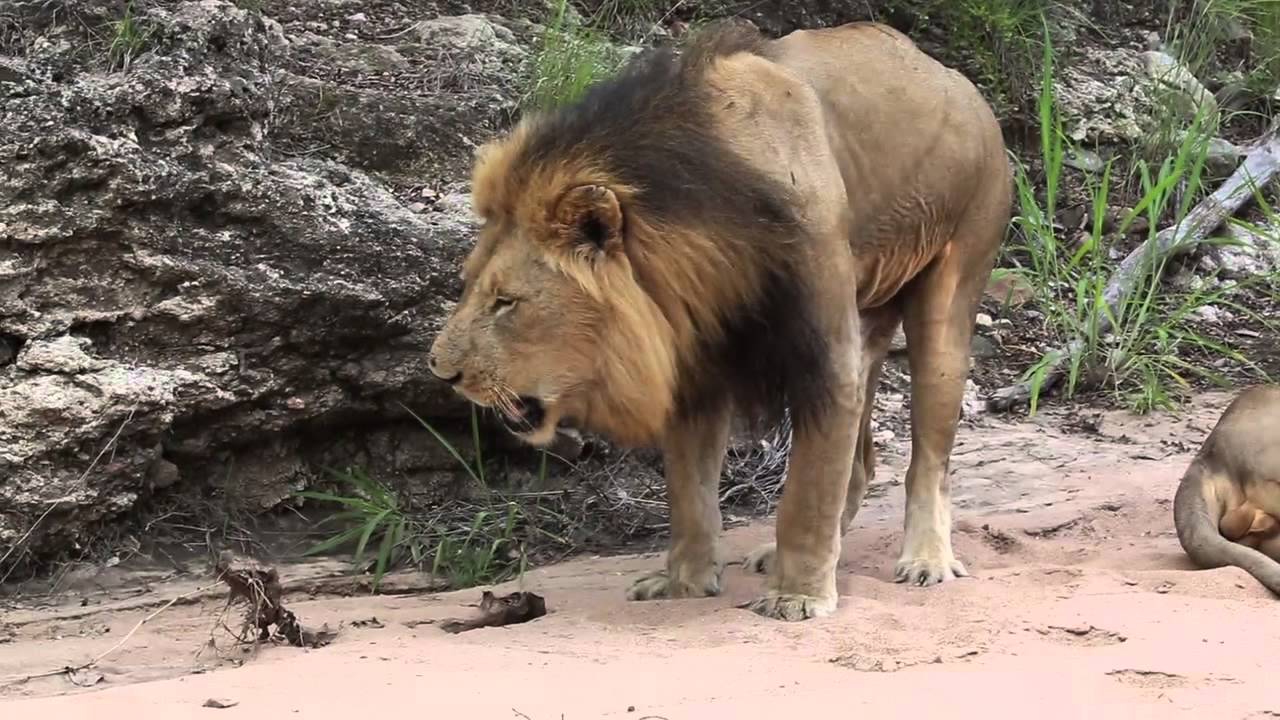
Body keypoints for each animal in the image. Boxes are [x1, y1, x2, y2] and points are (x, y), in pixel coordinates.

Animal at [427, 20, 1012, 621]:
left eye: (506, 302)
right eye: (469, 286)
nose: (440, 371)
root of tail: (959, 83)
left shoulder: (824, 355)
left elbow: (805, 491)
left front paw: (798, 596)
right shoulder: (694, 364)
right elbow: (689, 490)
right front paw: (682, 582)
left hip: (955, 284)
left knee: (928, 458)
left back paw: (926, 559)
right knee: (860, 464)